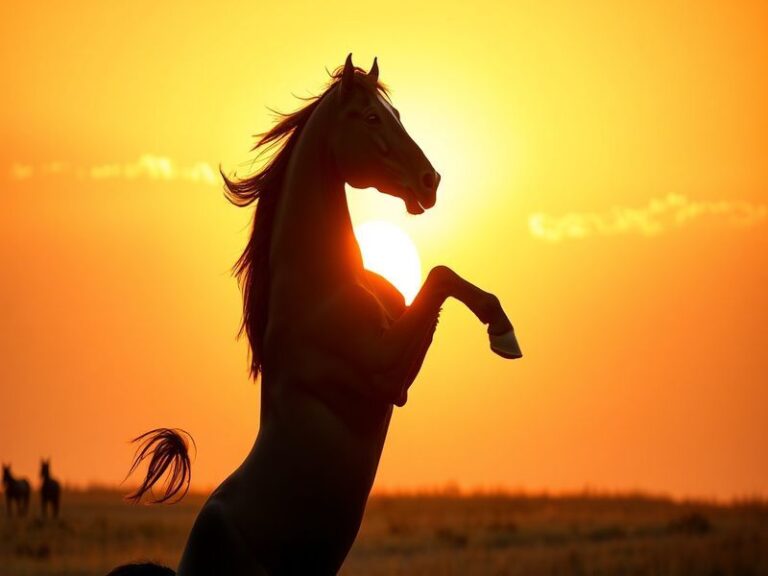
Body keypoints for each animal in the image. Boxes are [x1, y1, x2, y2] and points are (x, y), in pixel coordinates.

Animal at [113, 54, 521, 575]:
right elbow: (440, 276)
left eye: (397, 115)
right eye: (371, 117)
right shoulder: (386, 374)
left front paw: (502, 327)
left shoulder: (399, 374)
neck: (322, 282)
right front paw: (503, 333)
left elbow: (443, 281)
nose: (430, 182)